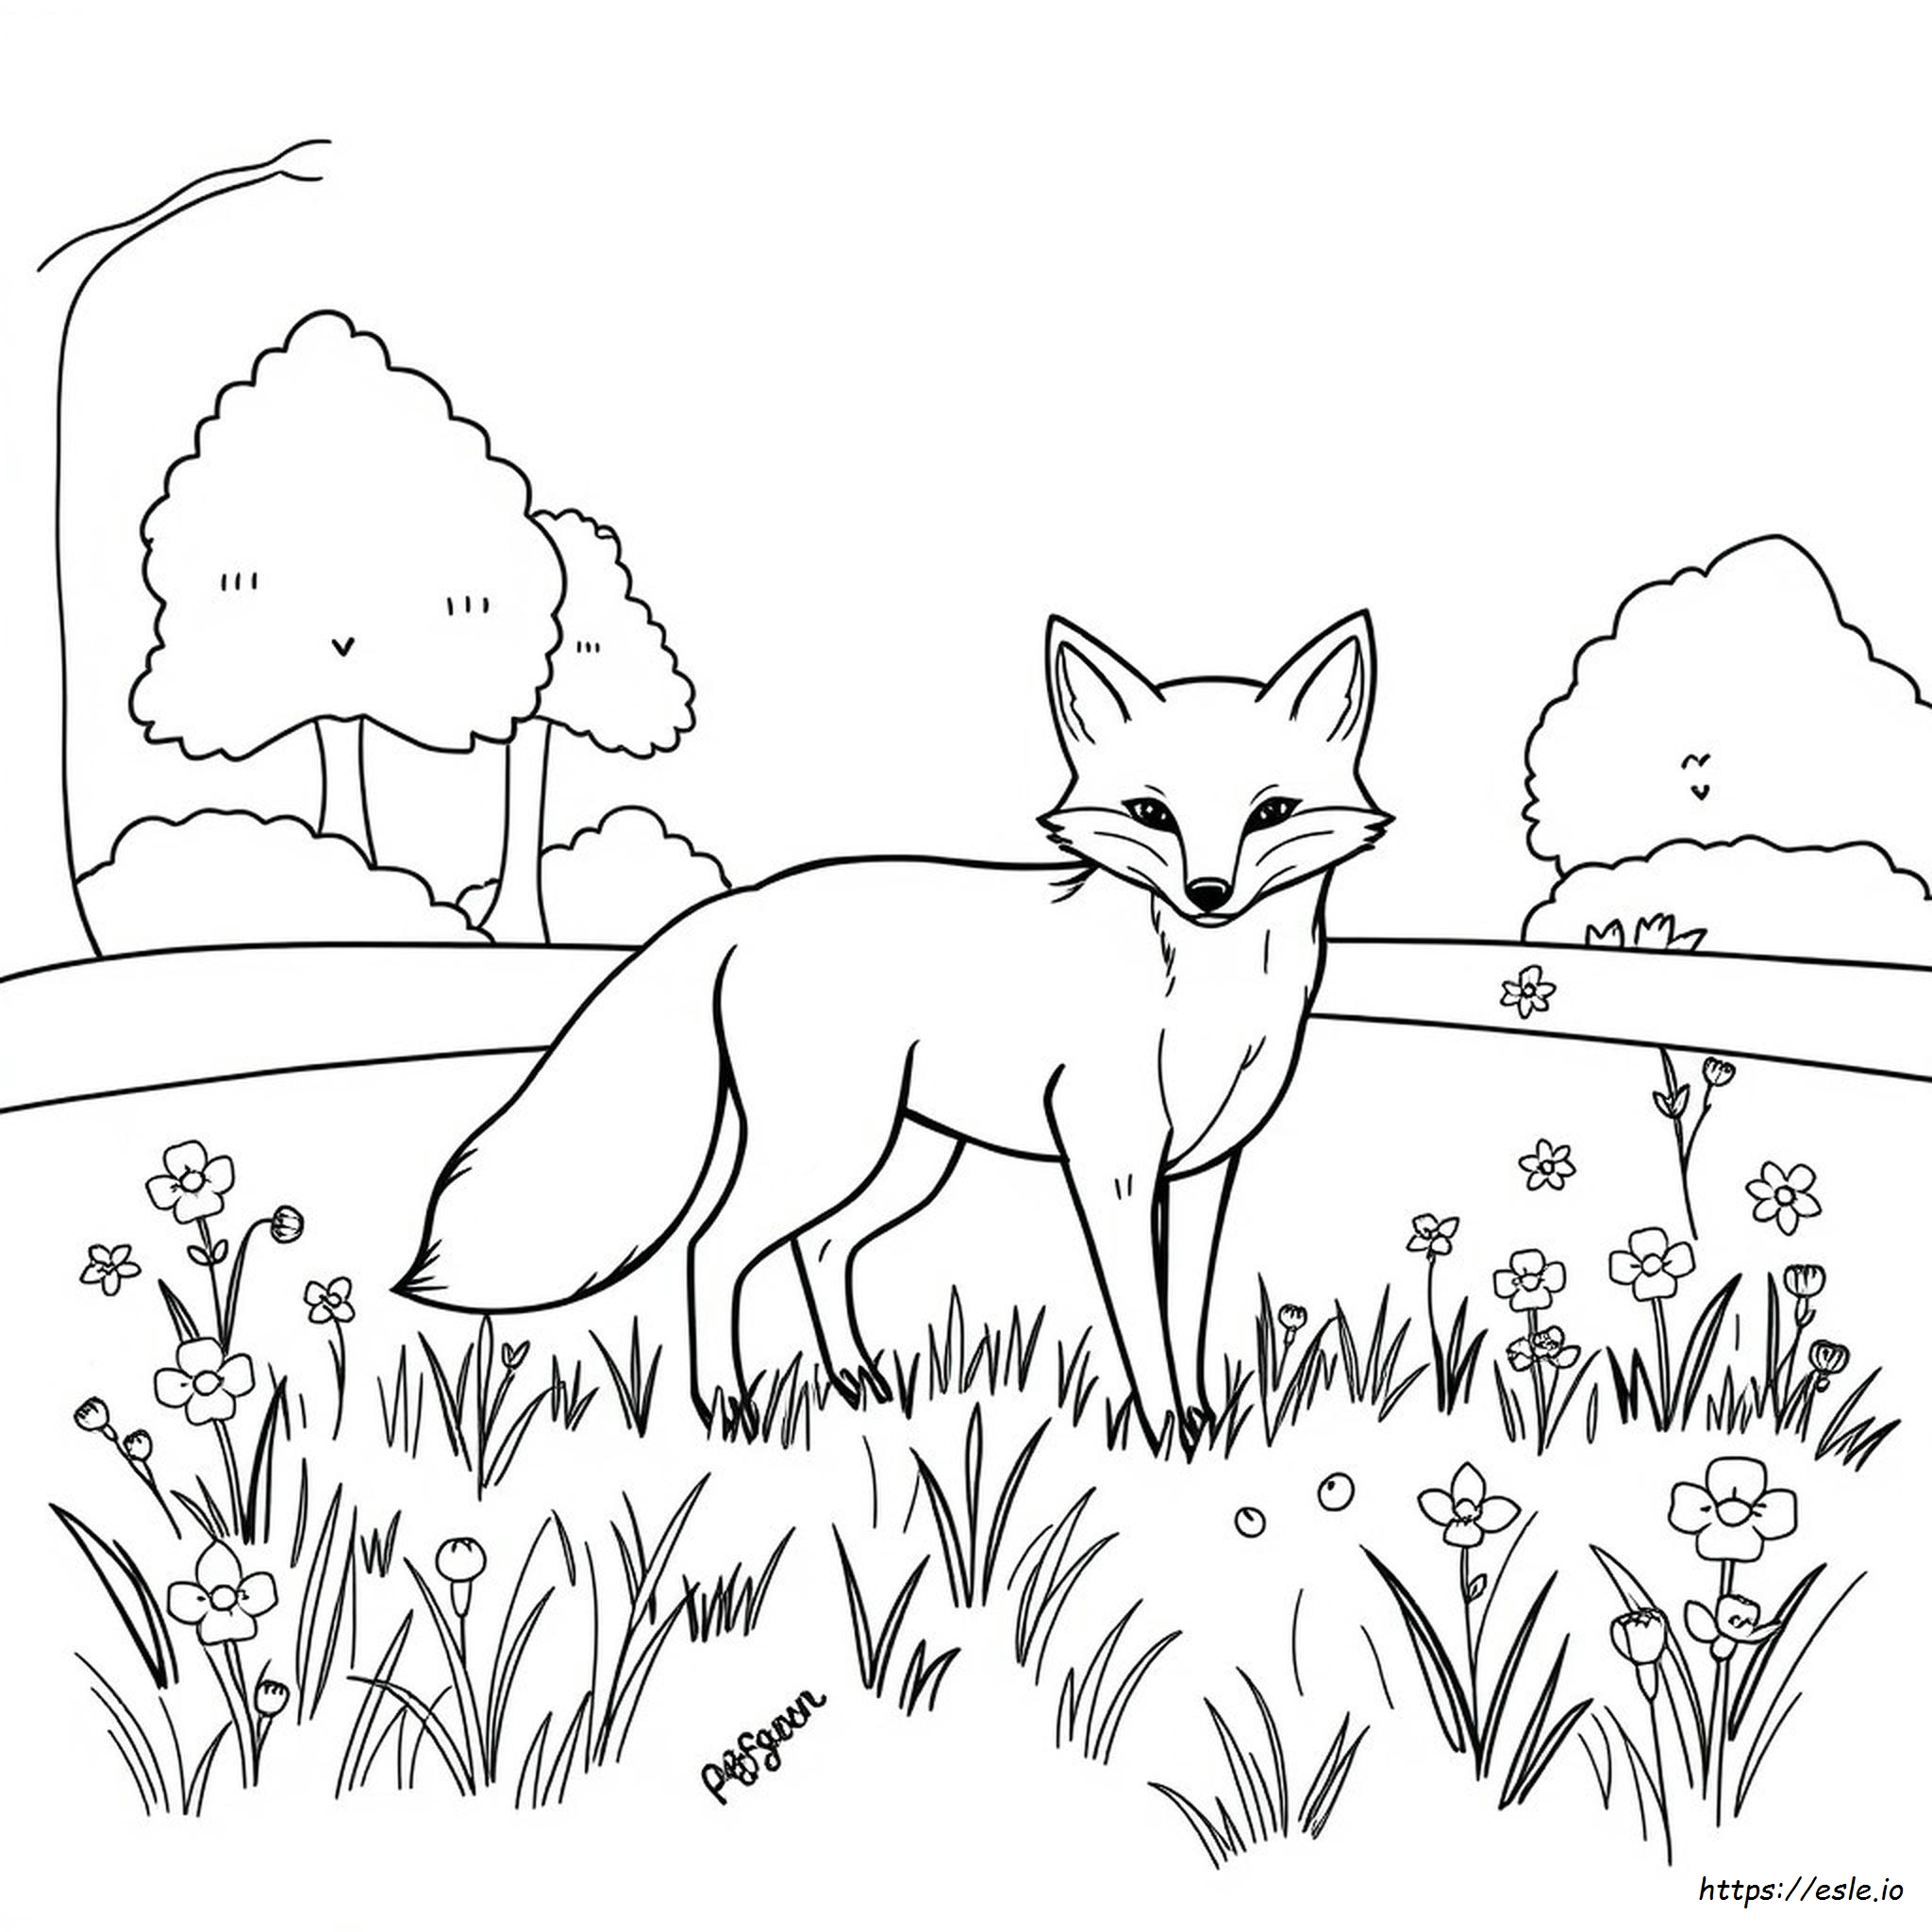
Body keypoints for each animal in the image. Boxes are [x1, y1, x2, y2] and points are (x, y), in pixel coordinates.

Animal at [398, 610, 1390, 1450]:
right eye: (1152, 814)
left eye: (1271, 813)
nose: (1208, 894)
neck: (1213, 998)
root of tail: (745, 903)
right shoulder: (1110, 1161)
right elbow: (1138, 1316)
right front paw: (1157, 1434)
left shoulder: (1206, 1169)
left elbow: (1185, 1312)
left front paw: (1199, 1426)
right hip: (836, 1149)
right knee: (713, 1249)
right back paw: (728, 1406)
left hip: (904, 1160)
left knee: (819, 1248)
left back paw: (858, 1385)